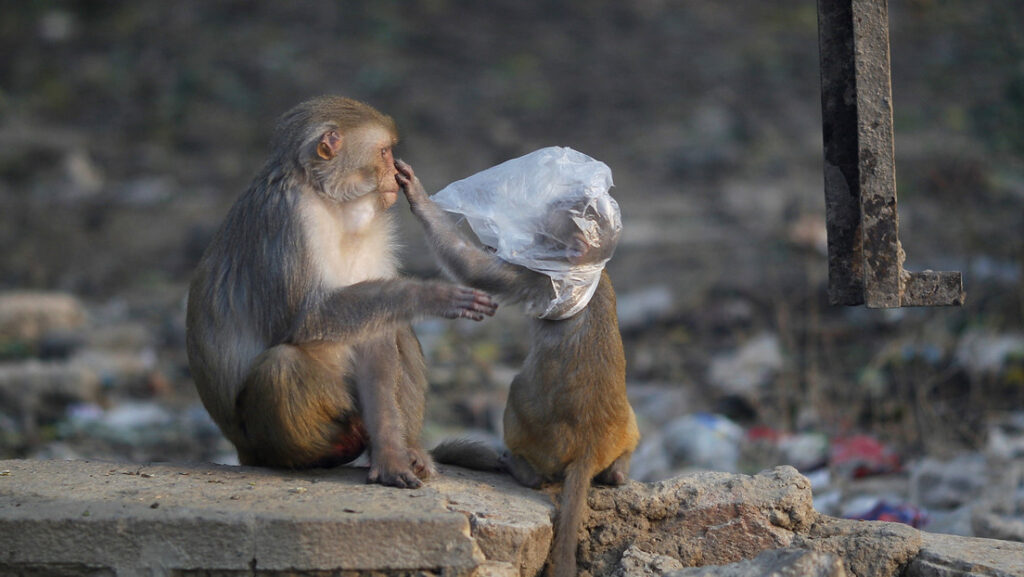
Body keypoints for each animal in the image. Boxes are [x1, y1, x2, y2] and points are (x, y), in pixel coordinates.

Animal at [190, 98, 501, 487]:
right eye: (383, 152)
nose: (394, 175)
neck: (331, 201)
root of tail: (240, 450)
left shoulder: (374, 228)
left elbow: (375, 335)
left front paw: (391, 456)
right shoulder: (290, 217)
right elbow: (307, 318)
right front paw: (428, 295)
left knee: (394, 328)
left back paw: (408, 448)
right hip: (259, 439)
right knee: (281, 366)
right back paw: (324, 453)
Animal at [395, 158, 634, 577]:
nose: (533, 235)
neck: (586, 270)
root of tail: (590, 448)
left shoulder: (537, 277)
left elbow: (473, 268)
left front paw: (418, 197)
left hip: (540, 437)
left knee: (517, 396)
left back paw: (523, 471)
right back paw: (618, 471)